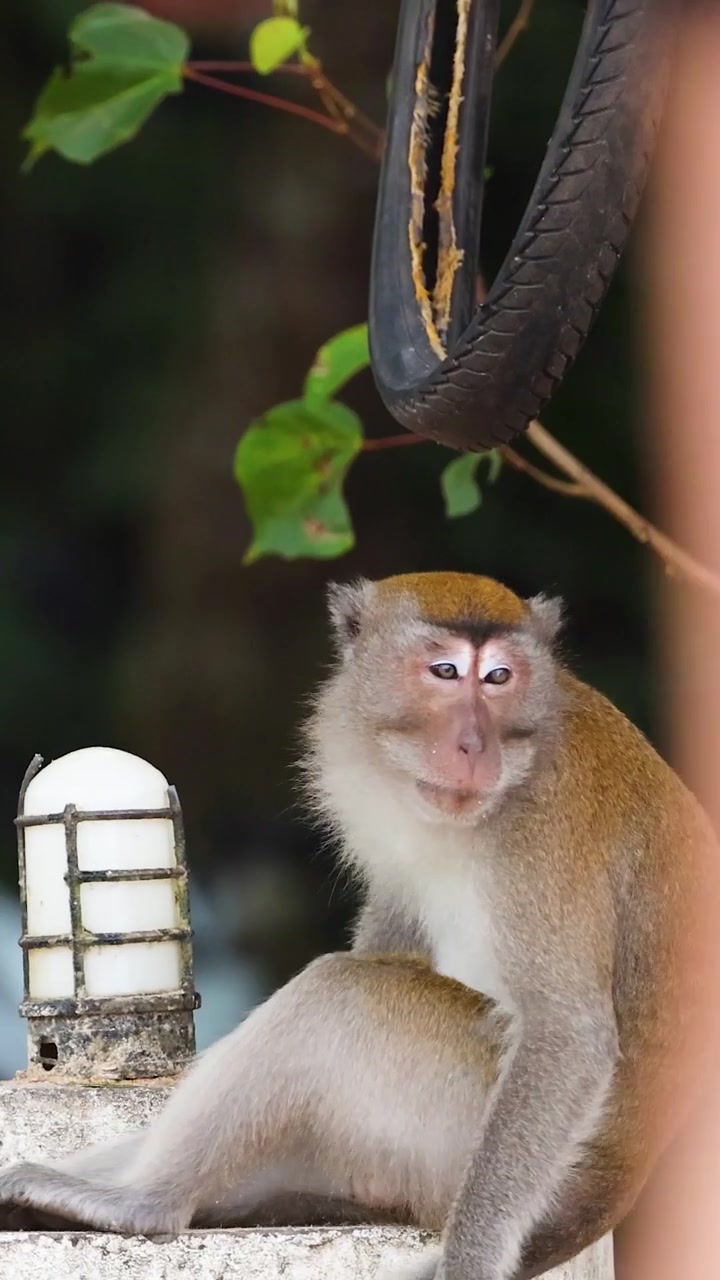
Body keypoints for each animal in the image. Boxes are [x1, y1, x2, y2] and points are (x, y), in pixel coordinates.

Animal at [0, 571, 718, 1280]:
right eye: (445, 670)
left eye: (498, 678)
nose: (474, 744)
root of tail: (611, 1187)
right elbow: (394, 937)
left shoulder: (545, 835)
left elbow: (567, 1035)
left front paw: (468, 1261)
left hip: (451, 1131)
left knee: (340, 993)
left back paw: (144, 1203)